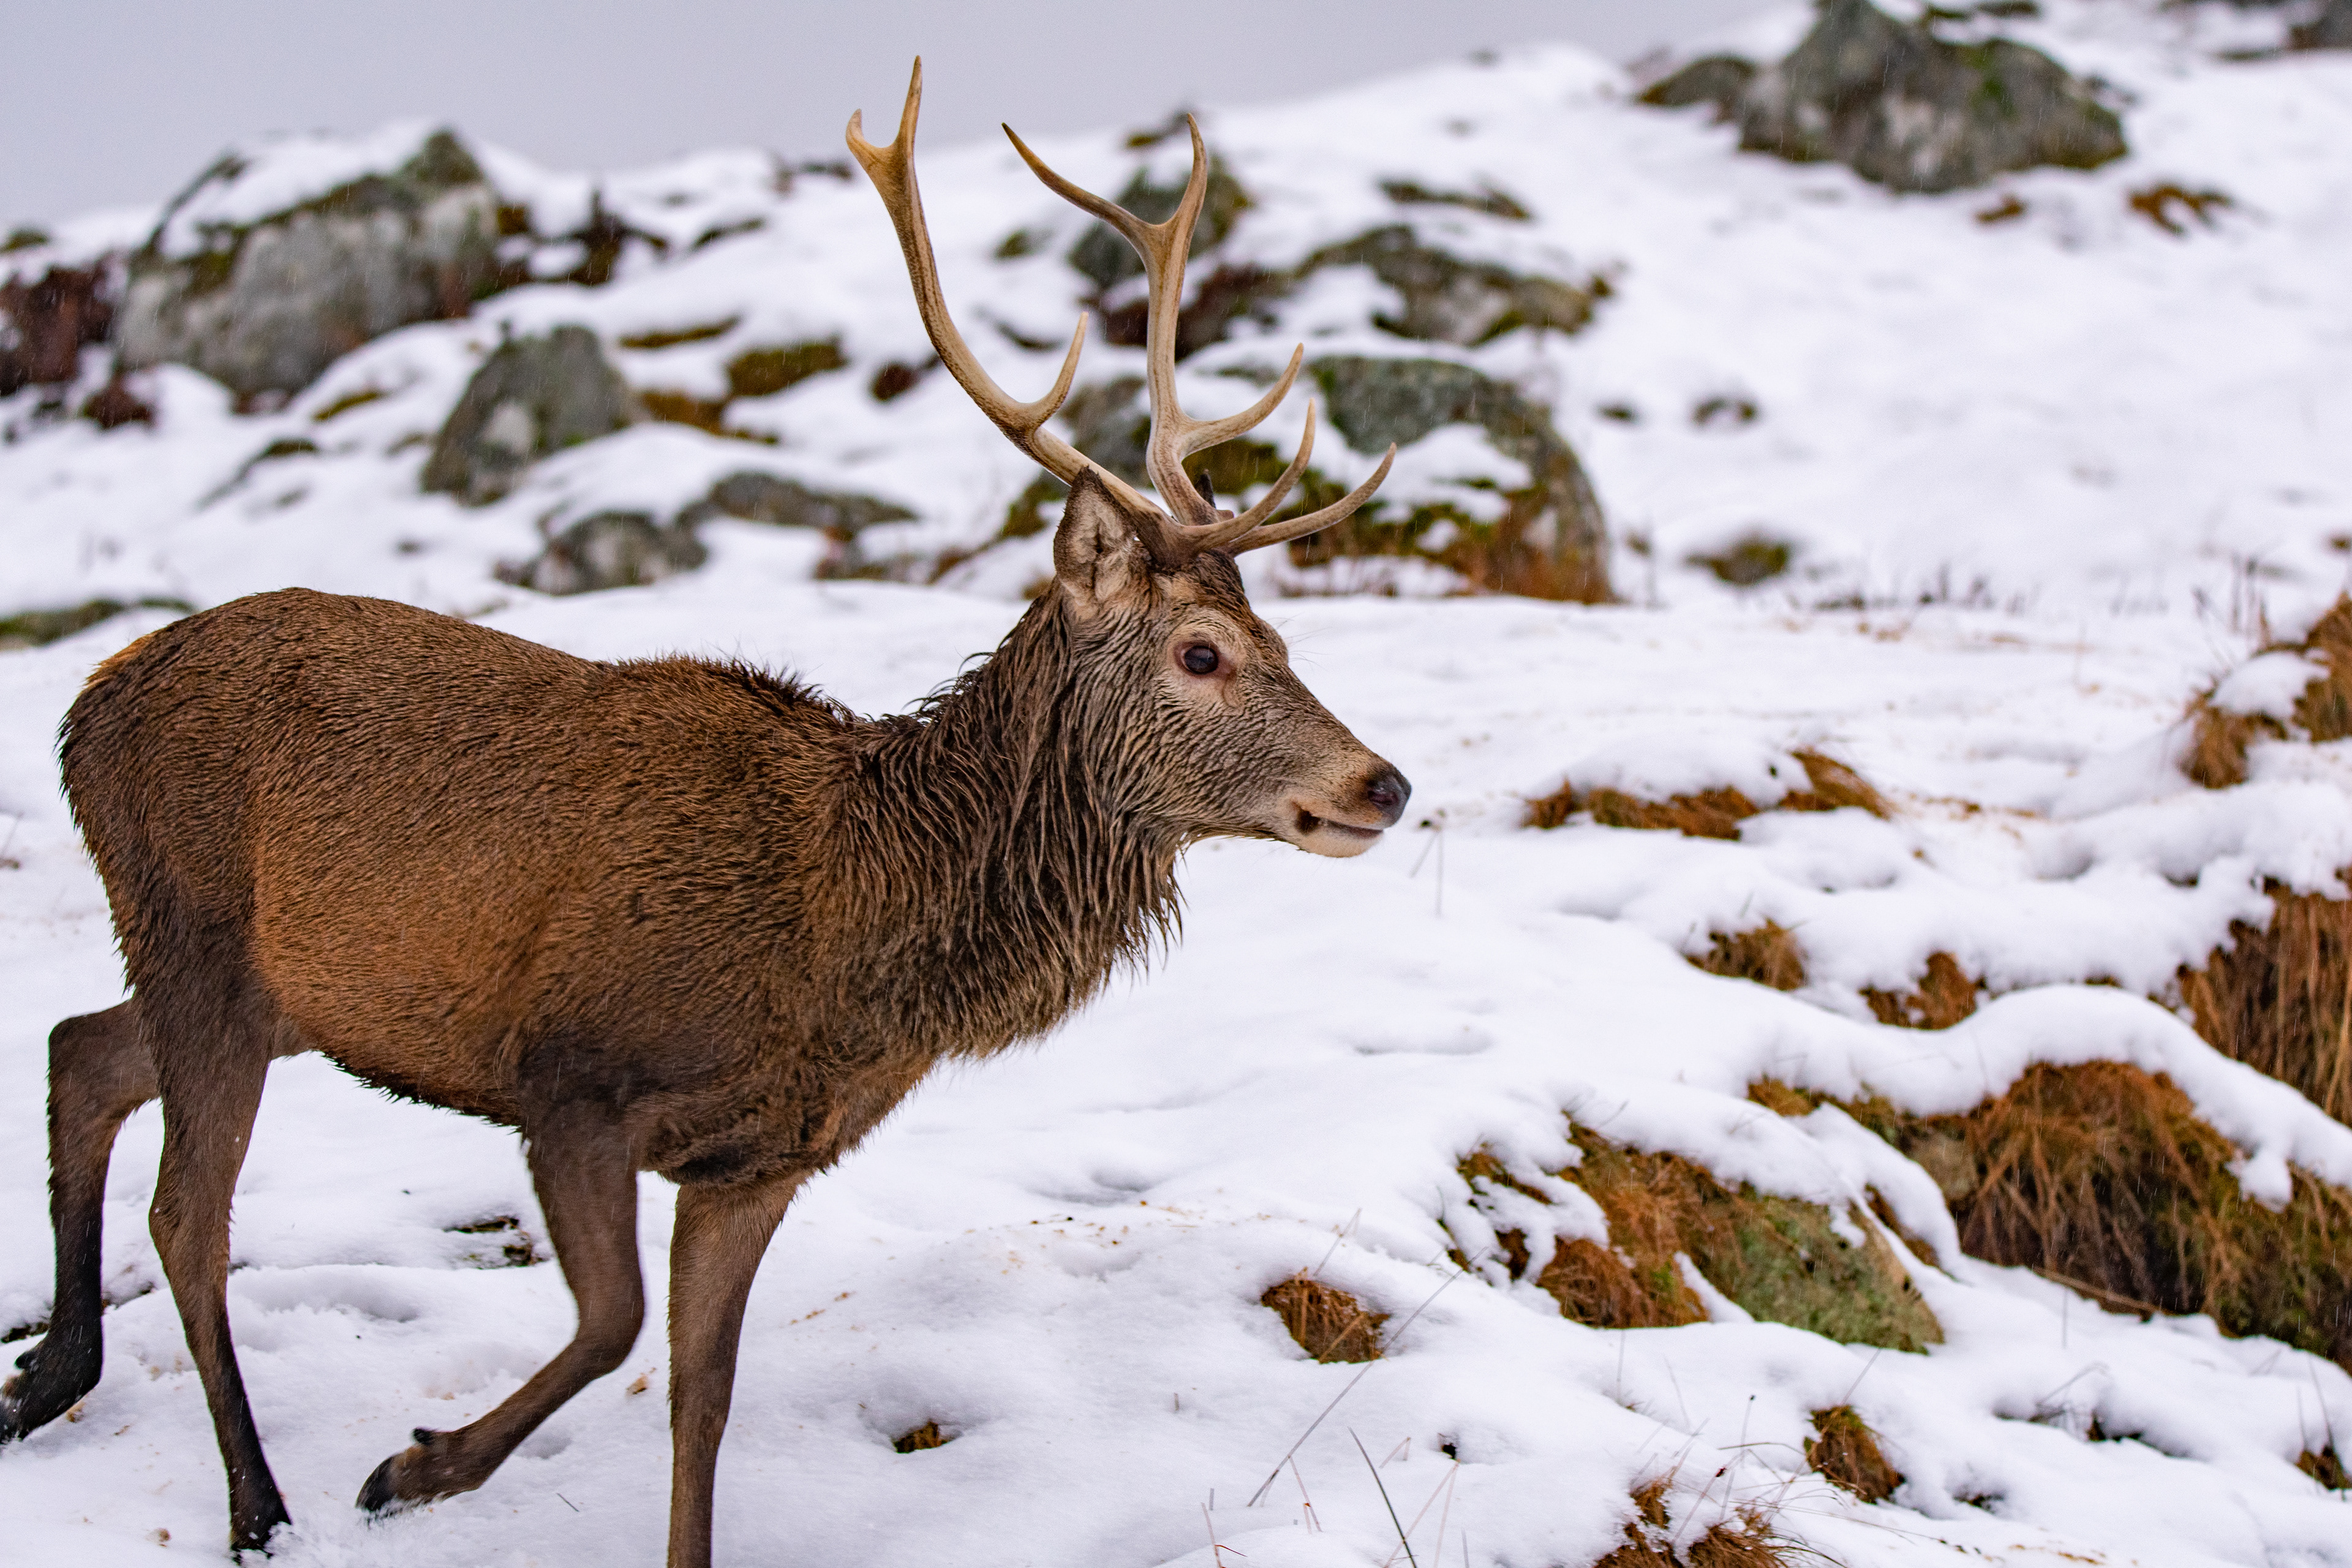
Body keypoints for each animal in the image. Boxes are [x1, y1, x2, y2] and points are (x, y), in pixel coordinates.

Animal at [0, 61, 1407, 1568]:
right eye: (1202, 651)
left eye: (1279, 632)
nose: (1383, 781)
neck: (845, 933)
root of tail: (86, 704)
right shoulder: (567, 1075)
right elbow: (612, 1326)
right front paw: (413, 1468)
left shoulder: (758, 1163)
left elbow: (702, 1393)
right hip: (193, 921)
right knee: (186, 1213)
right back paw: (258, 1504)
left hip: (273, 987)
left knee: (82, 1049)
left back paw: (48, 1376)